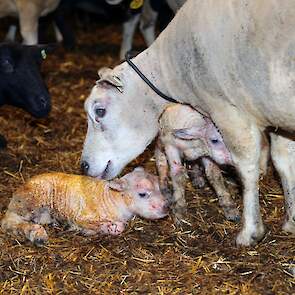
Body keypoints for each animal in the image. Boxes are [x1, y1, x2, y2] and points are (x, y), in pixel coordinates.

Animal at [1, 168, 169, 246]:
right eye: (142, 194)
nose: (166, 207)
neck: (112, 198)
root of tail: (16, 195)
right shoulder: (81, 217)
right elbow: (117, 227)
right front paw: (107, 228)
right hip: (31, 201)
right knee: (9, 221)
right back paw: (37, 235)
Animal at [82, 0, 295, 247]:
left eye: (99, 111)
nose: (83, 166)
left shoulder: (229, 112)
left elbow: (246, 169)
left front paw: (250, 231)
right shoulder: (277, 114)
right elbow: (284, 163)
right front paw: (291, 221)